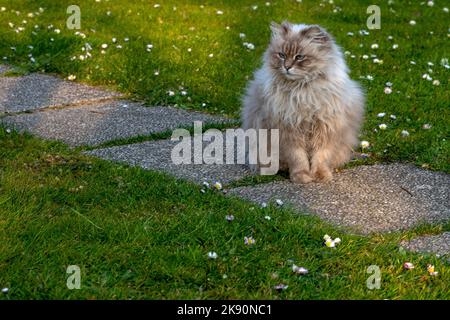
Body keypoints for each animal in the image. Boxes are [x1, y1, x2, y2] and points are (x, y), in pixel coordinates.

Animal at [243, 20, 366, 182]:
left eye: (299, 57)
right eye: (282, 55)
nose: (287, 67)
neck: (302, 91)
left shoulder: (325, 129)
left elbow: (321, 157)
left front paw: (321, 175)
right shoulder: (289, 131)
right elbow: (298, 158)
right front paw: (301, 177)